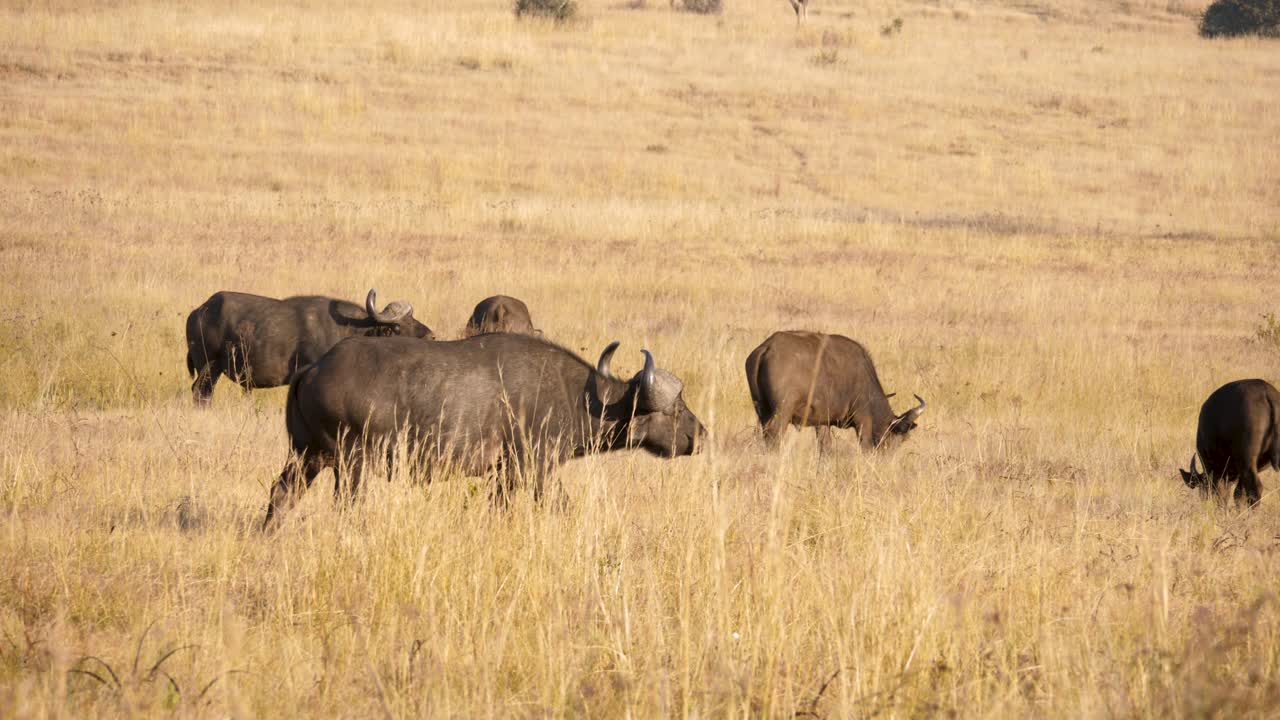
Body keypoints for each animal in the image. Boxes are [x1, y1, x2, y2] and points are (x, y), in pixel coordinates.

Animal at [263, 334, 706, 527]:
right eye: (676, 408)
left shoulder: (504, 475)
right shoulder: (535, 469)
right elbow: (560, 506)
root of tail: (314, 368)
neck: (575, 395)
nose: (699, 435)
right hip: (351, 464)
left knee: (280, 494)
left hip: (306, 458)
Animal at [745, 330, 925, 451]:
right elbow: (865, 445)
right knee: (774, 436)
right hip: (782, 411)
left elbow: (825, 447)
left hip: (762, 410)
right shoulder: (863, 419)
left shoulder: (822, 422)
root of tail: (767, 348)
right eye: (896, 439)